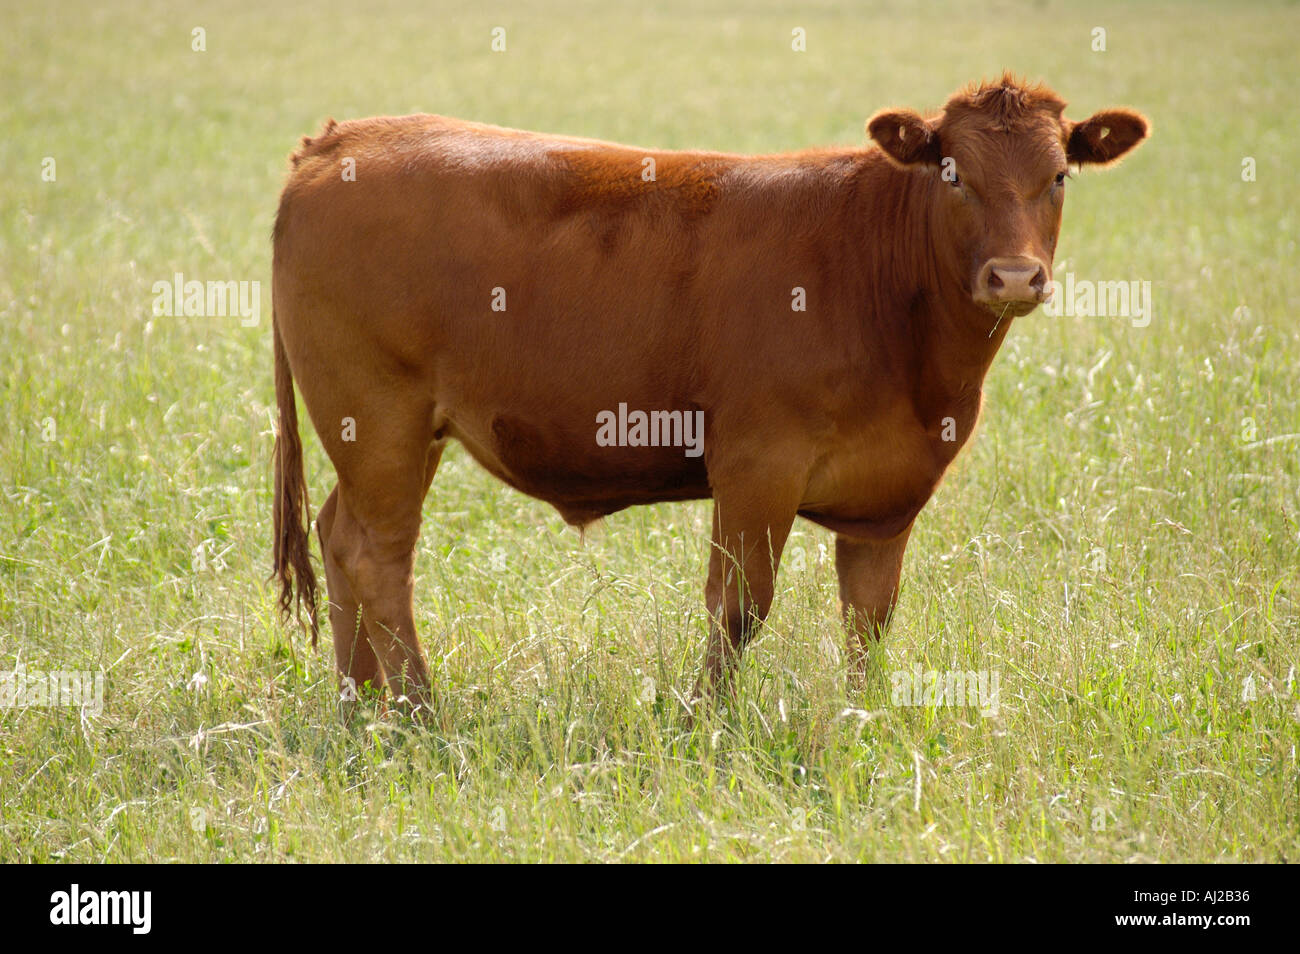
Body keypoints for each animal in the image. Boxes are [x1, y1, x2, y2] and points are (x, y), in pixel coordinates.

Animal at [269, 74, 1144, 712]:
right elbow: (740, 607)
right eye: (954, 173)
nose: (1016, 277)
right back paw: (421, 710)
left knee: (338, 536)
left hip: (396, 433)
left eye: (1058, 175)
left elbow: (869, 620)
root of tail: (343, 139)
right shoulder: (757, 464)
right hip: (378, 416)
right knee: (377, 555)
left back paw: (361, 706)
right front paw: (705, 719)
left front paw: (862, 719)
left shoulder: (888, 497)